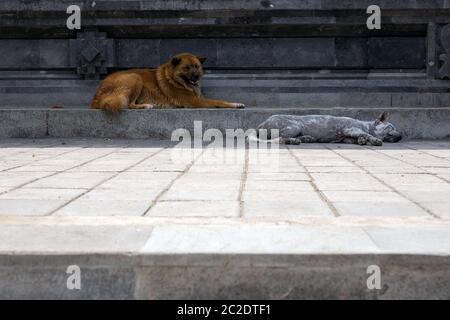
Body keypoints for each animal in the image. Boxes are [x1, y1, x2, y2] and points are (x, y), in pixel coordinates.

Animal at [90, 52, 244, 112]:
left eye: (197, 66)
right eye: (186, 68)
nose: (196, 77)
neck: (174, 79)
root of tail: (96, 98)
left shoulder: (198, 98)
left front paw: (236, 103)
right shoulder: (196, 102)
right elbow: (218, 102)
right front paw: (234, 104)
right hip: (135, 77)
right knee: (128, 104)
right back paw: (146, 105)